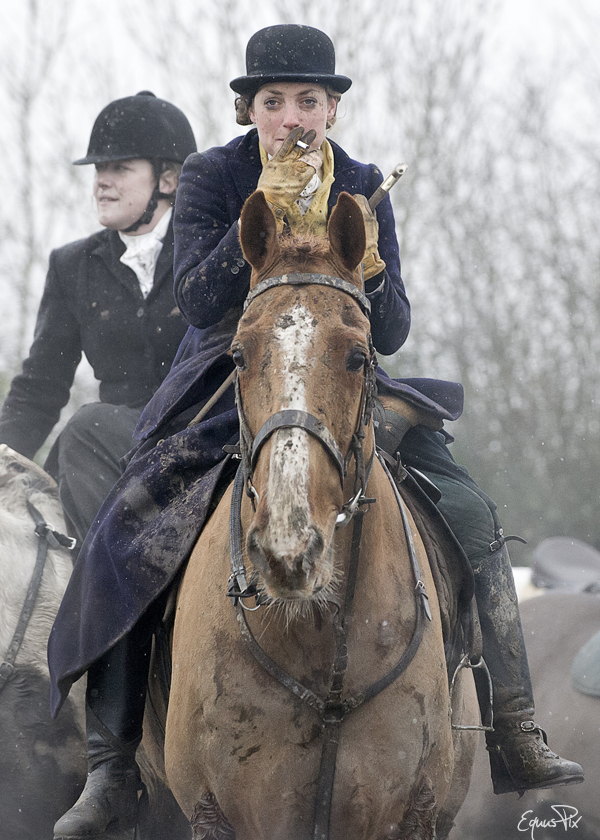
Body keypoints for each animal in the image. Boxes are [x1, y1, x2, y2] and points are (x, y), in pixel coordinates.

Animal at [161, 190, 478, 840]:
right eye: (237, 355)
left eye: (358, 355)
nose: (288, 548)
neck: (316, 639)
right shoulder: (212, 812)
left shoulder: (415, 812)